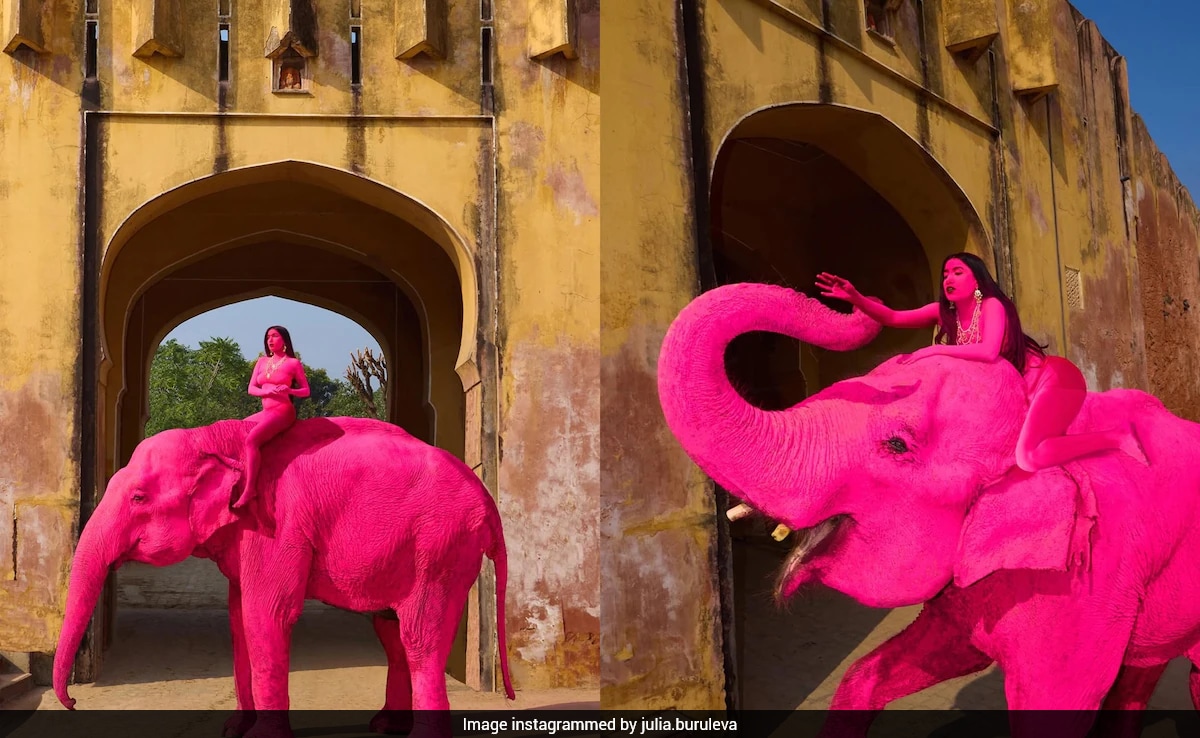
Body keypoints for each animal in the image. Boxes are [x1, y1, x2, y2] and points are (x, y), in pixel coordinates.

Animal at [52, 416, 514, 738]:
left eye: (138, 497)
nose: (73, 702)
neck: (219, 437)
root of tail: (490, 504)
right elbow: (239, 619)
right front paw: (233, 731)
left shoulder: (276, 526)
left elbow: (266, 615)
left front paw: (261, 737)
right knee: (391, 631)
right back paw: (385, 726)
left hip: (441, 547)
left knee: (419, 637)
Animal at [656, 282, 1200, 737]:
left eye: (897, 444)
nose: (854, 297)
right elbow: (896, 664)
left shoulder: (1089, 576)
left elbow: (1054, 709)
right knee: (1143, 670)